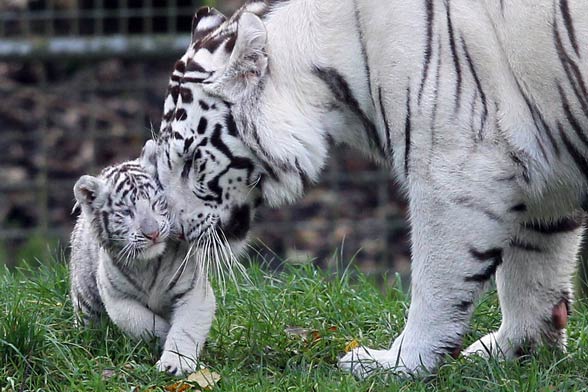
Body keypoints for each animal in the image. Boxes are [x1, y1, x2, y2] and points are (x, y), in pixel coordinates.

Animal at [156, 0, 588, 376]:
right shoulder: (541, 177)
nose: (173, 230)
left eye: (191, 161)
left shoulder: (455, 172)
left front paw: (400, 364)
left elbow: (436, 284)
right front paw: (518, 350)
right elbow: (531, 273)